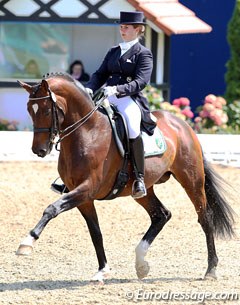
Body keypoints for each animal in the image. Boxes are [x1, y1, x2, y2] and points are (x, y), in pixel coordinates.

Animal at [16, 73, 234, 282]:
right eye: (29, 110)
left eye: (46, 111)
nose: (39, 150)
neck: (88, 132)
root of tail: (183, 125)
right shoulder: (83, 197)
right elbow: (95, 232)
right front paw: (103, 271)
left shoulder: (87, 188)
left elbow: (52, 208)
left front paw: (27, 241)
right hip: (143, 189)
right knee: (161, 215)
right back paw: (141, 264)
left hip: (192, 180)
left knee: (204, 217)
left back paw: (211, 269)